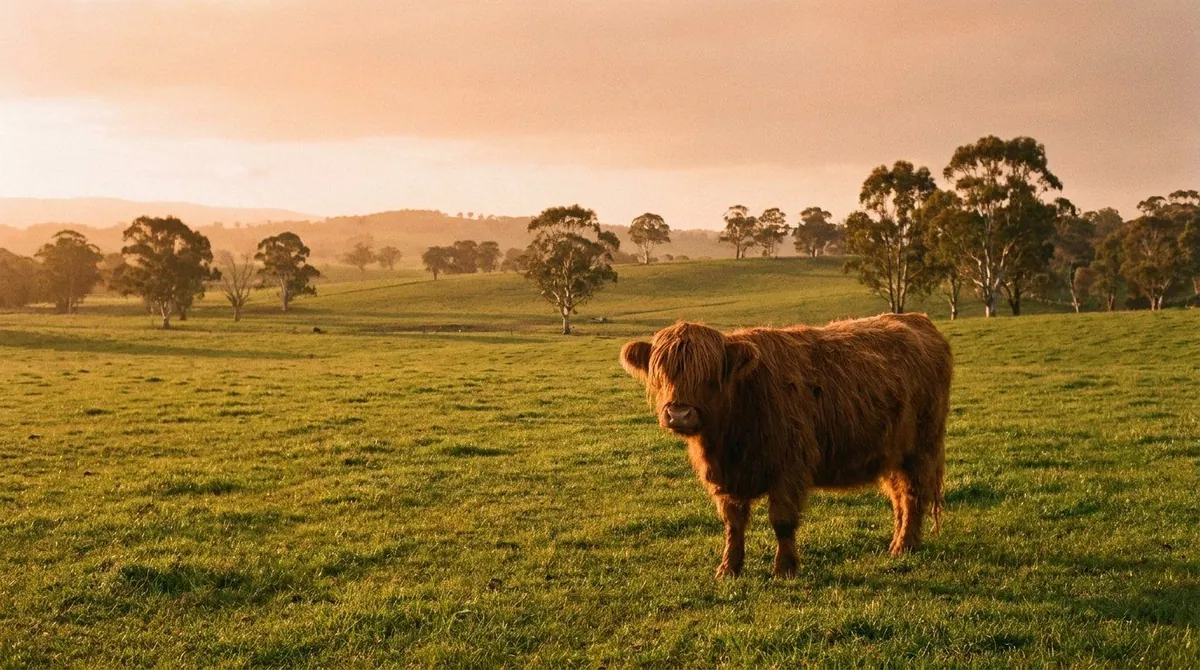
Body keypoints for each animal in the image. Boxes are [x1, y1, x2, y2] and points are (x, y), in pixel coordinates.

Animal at [619, 313, 952, 578]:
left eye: (710, 375)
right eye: (662, 373)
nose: (679, 413)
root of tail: (917, 319)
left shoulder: (789, 469)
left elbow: (782, 521)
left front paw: (785, 568)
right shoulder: (726, 479)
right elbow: (733, 524)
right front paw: (729, 568)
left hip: (922, 448)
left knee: (913, 495)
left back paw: (906, 546)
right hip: (892, 453)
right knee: (898, 496)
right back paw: (897, 542)